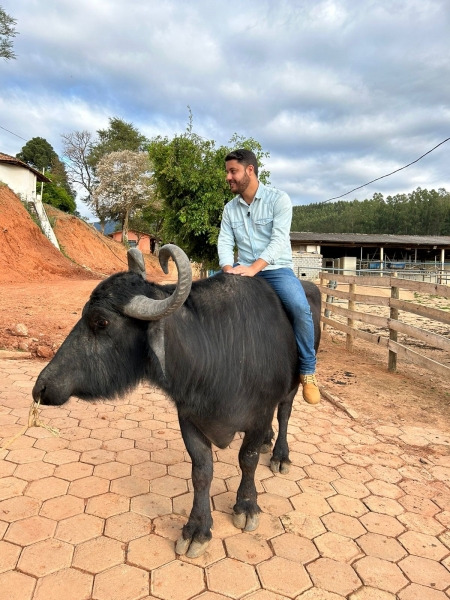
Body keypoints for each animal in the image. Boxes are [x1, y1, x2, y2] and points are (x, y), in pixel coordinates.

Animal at [32, 243, 320, 556]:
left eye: (101, 321)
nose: (41, 388)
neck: (222, 351)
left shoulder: (259, 415)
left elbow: (248, 459)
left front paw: (246, 505)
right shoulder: (190, 418)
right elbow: (202, 471)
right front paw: (197, 529)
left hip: (292, 387)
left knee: (285, 413)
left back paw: (280, 455)